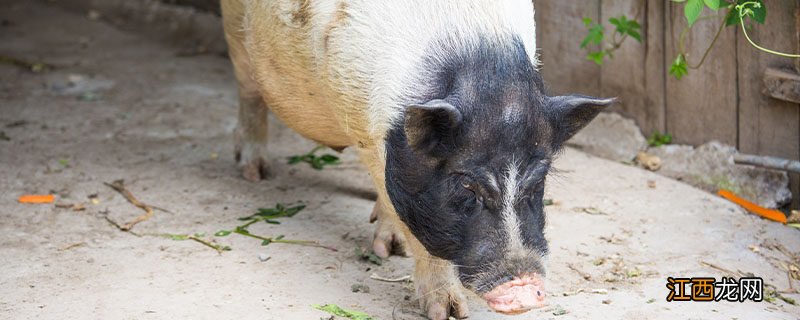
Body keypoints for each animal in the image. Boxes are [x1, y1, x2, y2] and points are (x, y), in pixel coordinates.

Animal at [219, 0, 612, 318]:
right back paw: (255, 172)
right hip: (236, 28)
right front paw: (447, 312)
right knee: (248, 89)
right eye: (466, 185)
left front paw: (391, 251)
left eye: (538, 180)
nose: (525, 290)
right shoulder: (367, 129)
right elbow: (413, 220)